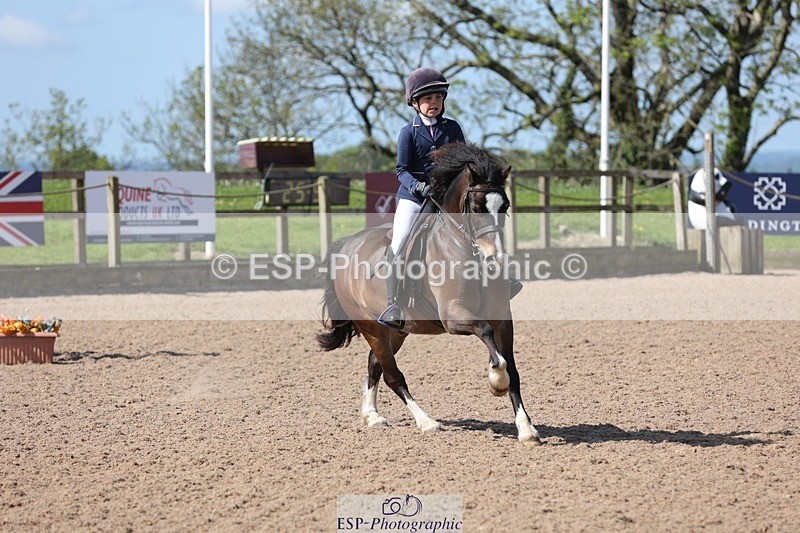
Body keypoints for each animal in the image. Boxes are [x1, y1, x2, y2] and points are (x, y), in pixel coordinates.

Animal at [316, 143, 541, 444]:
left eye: (504, 207)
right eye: (475, 207)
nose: (495, 259)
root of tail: (348, 245)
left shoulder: (503, 319)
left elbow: (513, 368)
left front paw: (526, 428)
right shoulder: (454, 315)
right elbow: (485, 333)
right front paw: (496, 381)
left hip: (397, 330)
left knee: (374, 363)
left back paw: (372, 416)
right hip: (371, 327)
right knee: (393, 375)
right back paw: (426, 422)